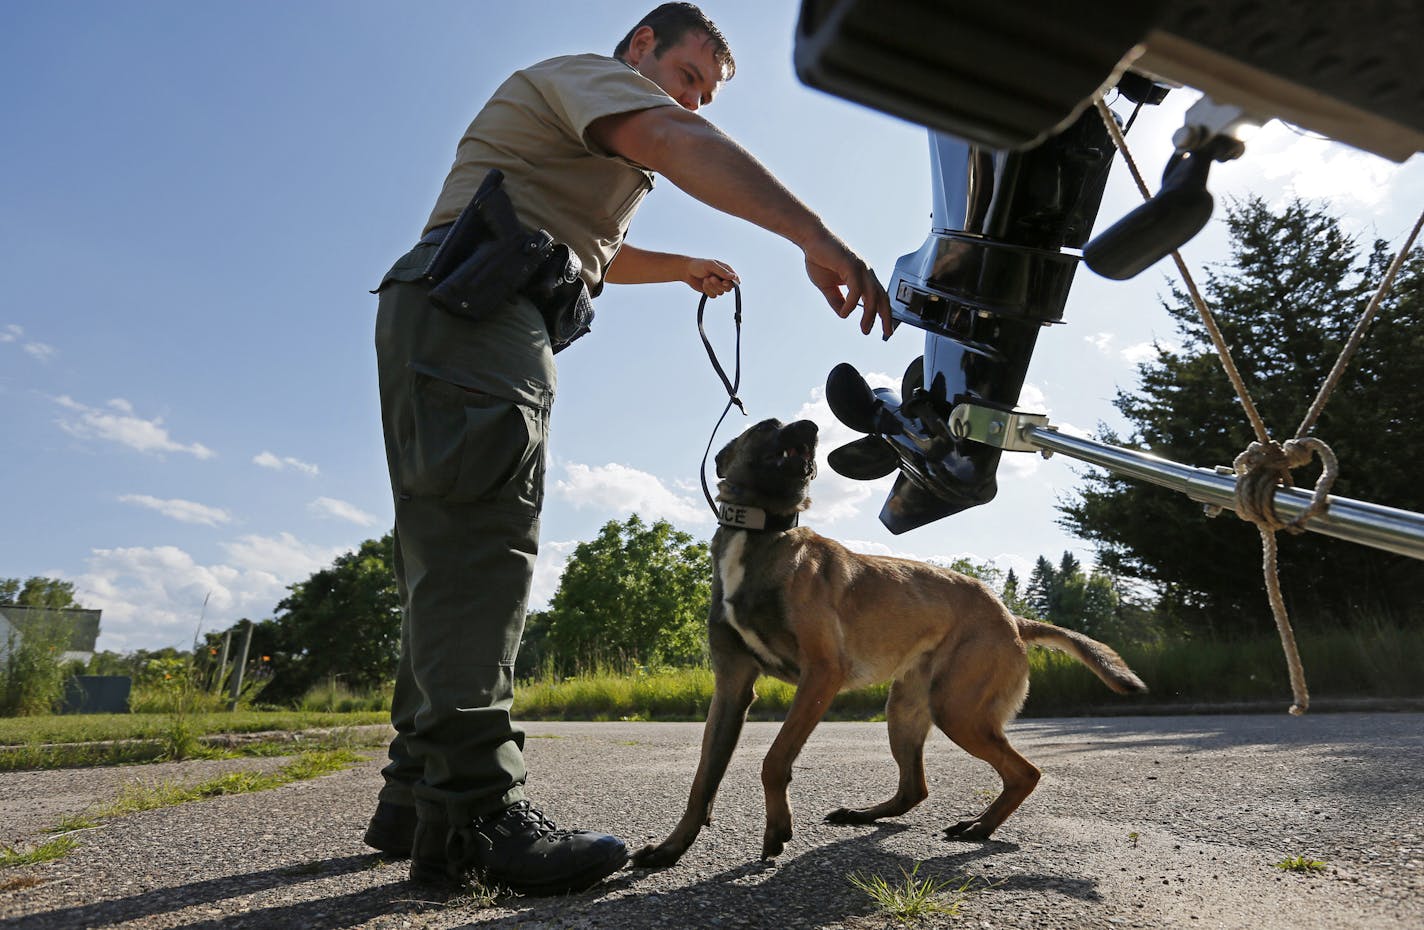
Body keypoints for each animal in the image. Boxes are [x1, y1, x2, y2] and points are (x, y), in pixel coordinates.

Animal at [635, 415, 1144, 865]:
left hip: (956, 709)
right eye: (766, 427)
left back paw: (979, 827)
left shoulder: (821, 675)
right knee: (915, 788)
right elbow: (703, 778)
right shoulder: (733, 687)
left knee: (1025, 773)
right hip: (905, 709)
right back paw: (866, 815)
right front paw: (670, 849)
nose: (811, 427)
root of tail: (1011, 618)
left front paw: (777, 828)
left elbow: (774, 760)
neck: (762, 532)